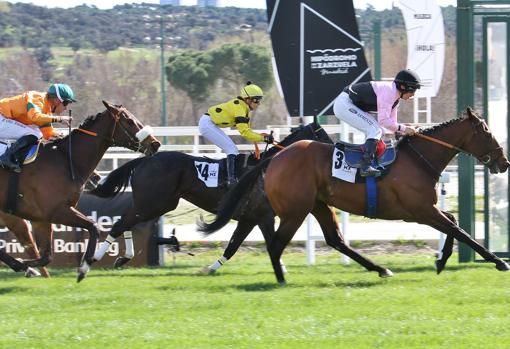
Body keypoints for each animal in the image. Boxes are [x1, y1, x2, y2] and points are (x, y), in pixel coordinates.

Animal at [0, 100, 160, 280]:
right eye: (130, 121)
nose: (155, 143)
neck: (65, 159)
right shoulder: (56, 211)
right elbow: (94, 227)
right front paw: (84, 266)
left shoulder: (41, 218)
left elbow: (46, 256)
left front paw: (25, 265)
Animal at [199, 107, 510, 284]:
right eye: (486, 131)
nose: (503, 162)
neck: (418, 159)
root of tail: (275, 157)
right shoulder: (420, 211)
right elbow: (461, 231)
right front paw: (498, 261)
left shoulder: (425, 209)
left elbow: (454, 222)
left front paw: (440, 260)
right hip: (296, 210)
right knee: (276, 244)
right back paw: (281, 279)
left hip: (319, 205)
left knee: (335, 240)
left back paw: (380, 269)